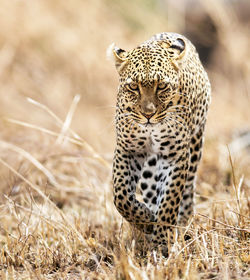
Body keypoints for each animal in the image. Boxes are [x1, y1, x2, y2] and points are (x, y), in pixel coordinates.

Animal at [107, 32, 211, 252]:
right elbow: (121, 196)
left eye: (161, 86)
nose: (148, 114)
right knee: (151, 191)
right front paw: (146, 220)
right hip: (150, 169)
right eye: (133, 86)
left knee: (187, 193)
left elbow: (170, 199)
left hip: (195, 145)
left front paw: (164, 239)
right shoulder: (127, 149)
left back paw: (182, 225)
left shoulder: (176, 155)